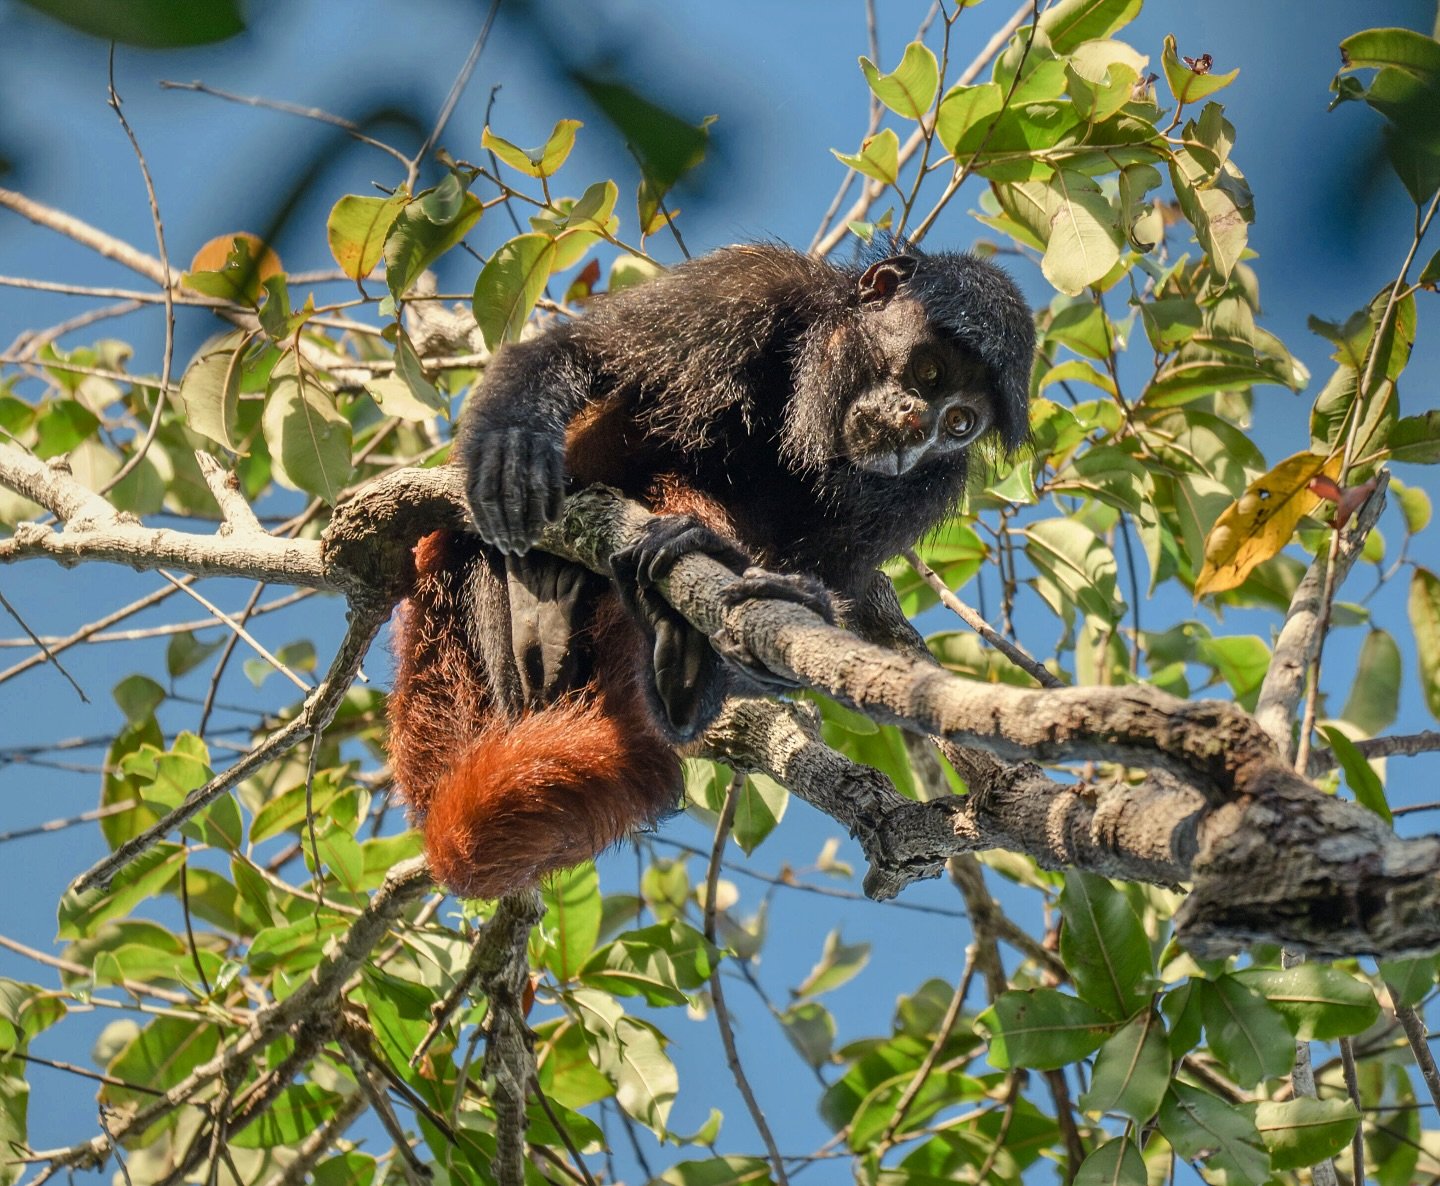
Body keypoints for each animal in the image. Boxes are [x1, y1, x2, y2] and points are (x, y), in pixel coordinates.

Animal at [387, 242, 1034, 899]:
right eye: (929, 373)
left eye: (959, 424)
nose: (917, 428)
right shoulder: (751, 284)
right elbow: (582, 351)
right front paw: (513, 443)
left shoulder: (927, 489)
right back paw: (535, 595)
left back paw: (677, 658)